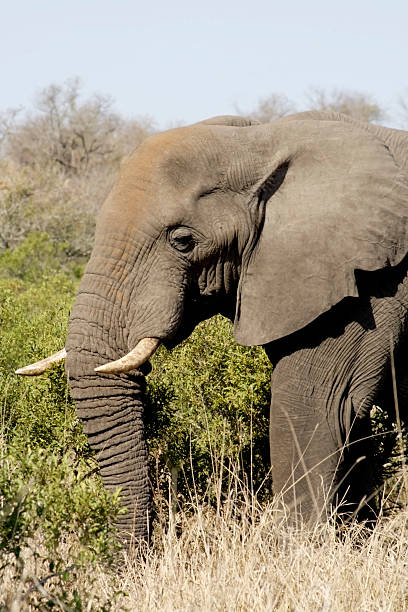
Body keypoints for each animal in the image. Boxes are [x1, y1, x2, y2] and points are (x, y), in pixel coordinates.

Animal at [17, 110, 408, 540]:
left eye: (183, 241)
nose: (148, 550)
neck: (261, 141)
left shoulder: (367, 286)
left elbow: (317, 406)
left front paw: (295, 548)